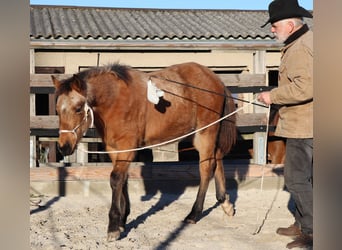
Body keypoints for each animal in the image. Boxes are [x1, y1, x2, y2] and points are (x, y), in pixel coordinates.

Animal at [52, 61, 236, 241]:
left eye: (78, 108)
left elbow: (116, 179)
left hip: (205, 134)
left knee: (206, 169)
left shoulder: (127, 147)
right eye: (57, 109)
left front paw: (113, 226)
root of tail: (216, 79)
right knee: (217, 159)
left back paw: (194, 213)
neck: (114, 99)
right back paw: (225, 202)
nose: (64, 146)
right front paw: (122, 221)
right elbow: (123, 179)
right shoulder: (114, 149)